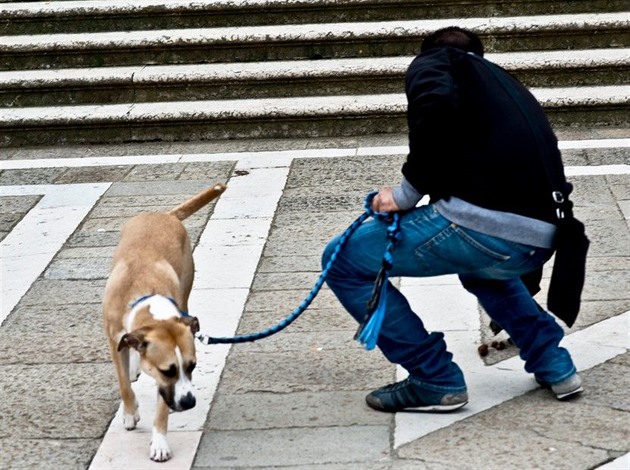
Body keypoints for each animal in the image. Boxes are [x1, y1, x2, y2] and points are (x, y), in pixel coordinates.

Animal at [105, 183, 228, 458]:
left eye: (193, 366)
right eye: (167, 370)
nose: (189, 402)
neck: (145, 299)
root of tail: (165, 214)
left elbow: (161, 406)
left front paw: (159, 442)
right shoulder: (114, 338)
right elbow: (123, 382)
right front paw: (130, 413)